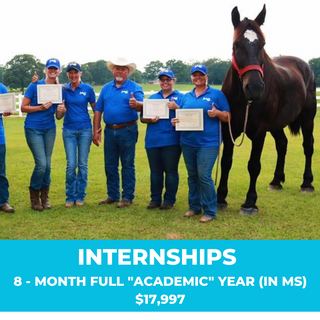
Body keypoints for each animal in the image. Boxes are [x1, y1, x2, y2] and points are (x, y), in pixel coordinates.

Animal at [216, 4, 316, 215]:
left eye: (262, 43)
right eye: (236, 44)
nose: (254, 87)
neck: (244, 100)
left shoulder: (260, 131)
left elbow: (254, 165)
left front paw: (250, 202)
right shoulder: (229, 129)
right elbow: (226, 161)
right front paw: (220, 198)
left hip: (307, 119)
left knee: (308, 146)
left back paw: (307, 184)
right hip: (277, 125)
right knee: (282, 144)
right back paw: (276, 181)